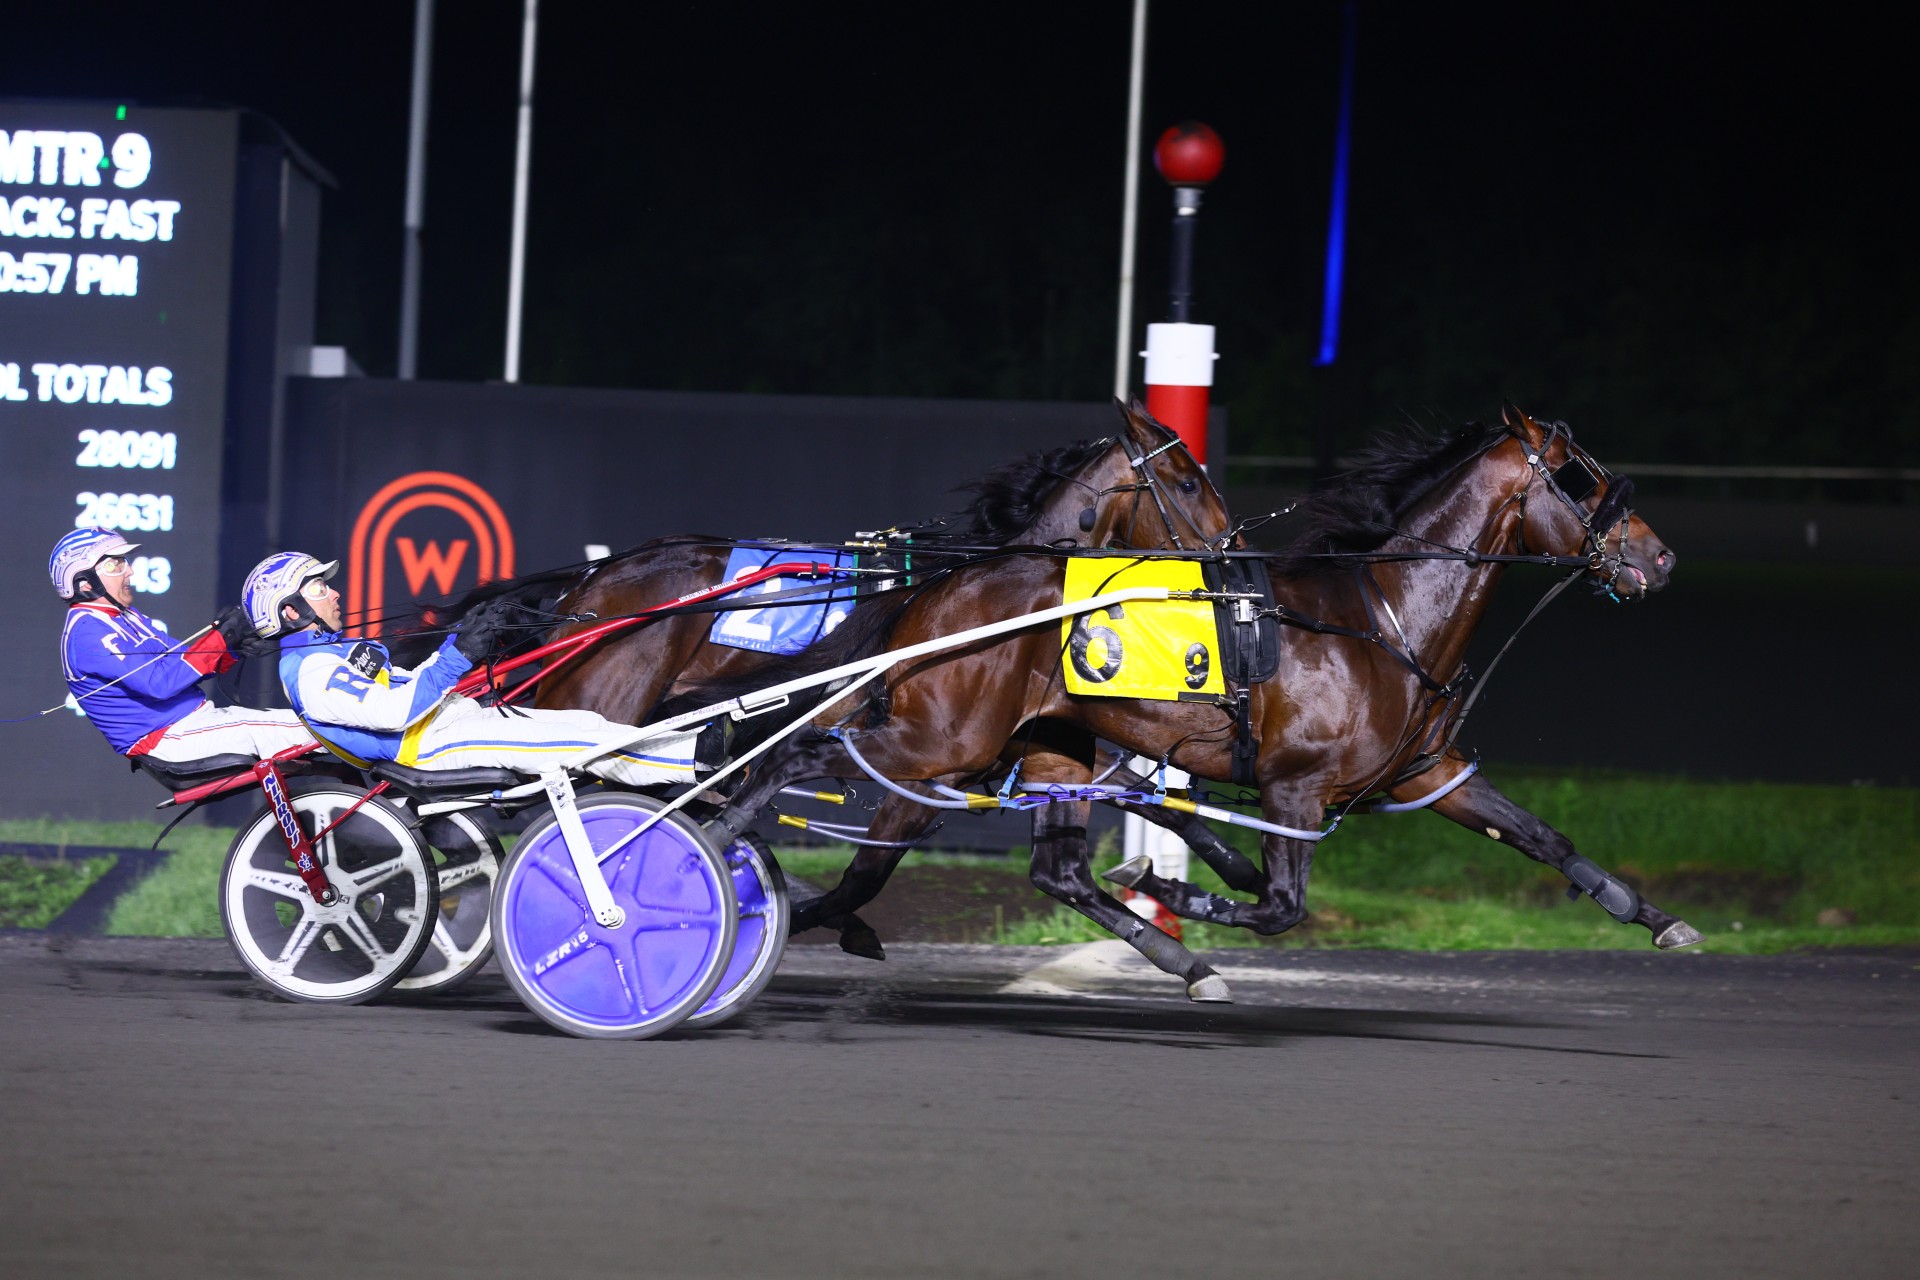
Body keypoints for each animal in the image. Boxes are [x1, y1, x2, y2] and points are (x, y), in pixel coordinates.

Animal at [693, 406, 1694, 1000]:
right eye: (1583, 479)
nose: (1659, 557)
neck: (1380, 615)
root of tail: (953, 584)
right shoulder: (1295, 790)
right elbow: (1279, 905)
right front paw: (1174, 883)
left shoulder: (1426, 770)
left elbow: (1542, 836)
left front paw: (1653, 917)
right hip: (938, 738)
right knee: (798, 754)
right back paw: (716, 844)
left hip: (1044, 746)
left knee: (1053, 873)